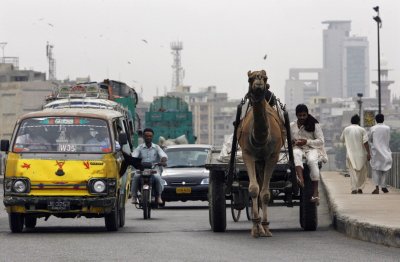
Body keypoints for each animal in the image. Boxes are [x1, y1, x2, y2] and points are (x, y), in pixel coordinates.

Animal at [238, 69, 284, 237]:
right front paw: (256, 228)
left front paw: (265, 227)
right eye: (250, 78)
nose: (258, 83)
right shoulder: (247, 155)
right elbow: (253, 189)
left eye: (265, 78)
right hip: (258, 161)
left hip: (263, 161)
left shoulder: (272, 156)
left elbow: (265, 194)